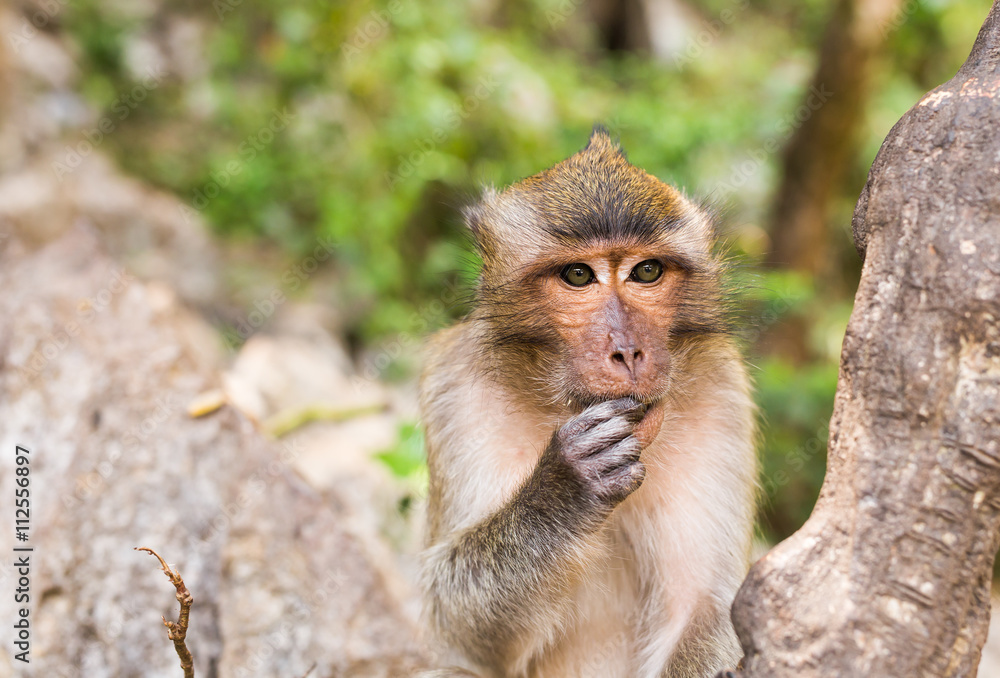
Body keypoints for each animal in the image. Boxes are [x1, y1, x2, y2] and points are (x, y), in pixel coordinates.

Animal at [418, 128, 757, 678]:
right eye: (578, 276)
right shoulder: (456, 389)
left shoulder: (721, 387)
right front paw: (567, 487)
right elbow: (455, 628)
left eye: (646, 271)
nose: (628, 351)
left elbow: (708, 606)